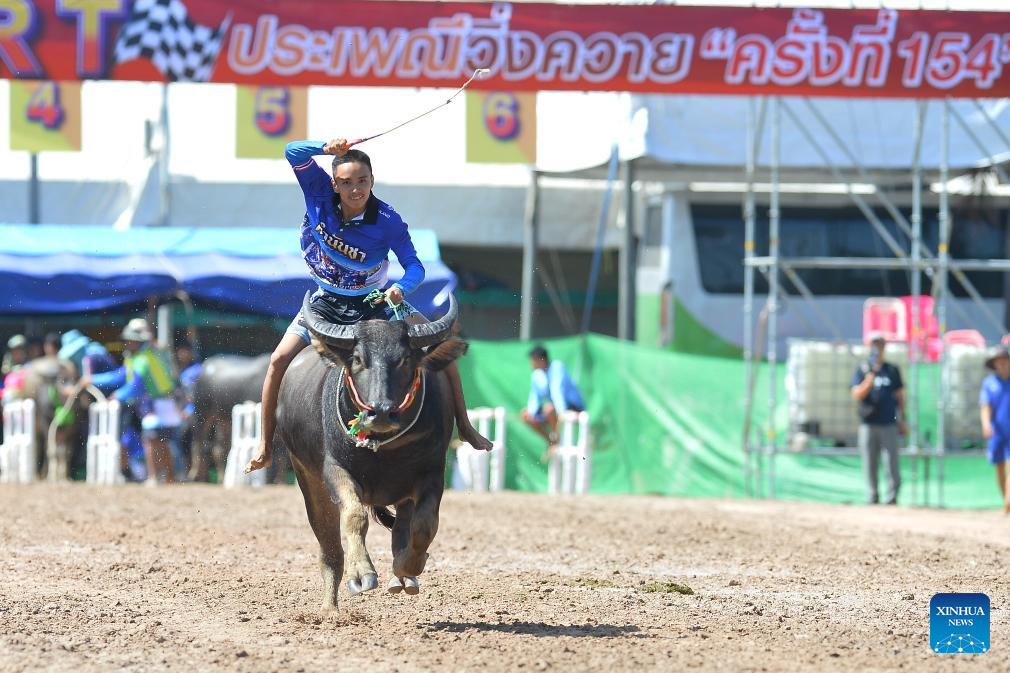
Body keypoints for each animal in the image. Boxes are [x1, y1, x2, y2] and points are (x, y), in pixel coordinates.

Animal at [278, 292, 466, 610]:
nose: (381, 412)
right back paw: (330, 607)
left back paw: (403, 577)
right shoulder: (334, 470)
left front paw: (408, 566)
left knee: (403, 526)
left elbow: (425, 525)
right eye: (358, 359)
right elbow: (355, 516)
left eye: (404, 359)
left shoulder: (432, 473)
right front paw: (361, 573)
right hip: (306, 477)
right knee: (329, 543)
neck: (384, 450)